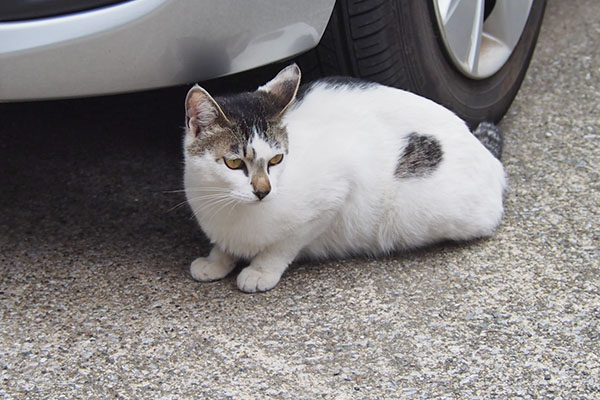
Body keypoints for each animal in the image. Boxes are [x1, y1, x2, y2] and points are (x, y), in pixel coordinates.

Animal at [184, 64, 506, 292]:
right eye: (234, 163)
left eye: (276, 160)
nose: (264, 190)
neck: (231, 211)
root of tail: (487, 154)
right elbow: (223, 246)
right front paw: (216, 261)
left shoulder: (336, 192)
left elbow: (283, 245)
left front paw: (261, 270)